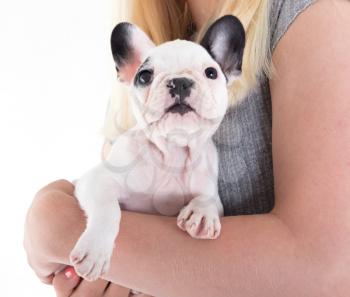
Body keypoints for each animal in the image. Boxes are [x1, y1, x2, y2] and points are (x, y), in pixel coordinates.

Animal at [69, 15, 245, 280]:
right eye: (144, 76)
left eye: (211, 72)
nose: (180, 82)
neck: (173, 151)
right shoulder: (97, 180)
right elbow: (109, 210)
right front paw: (95, 249)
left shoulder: (210, 189)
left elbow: (209, 199)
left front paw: (202, 213)